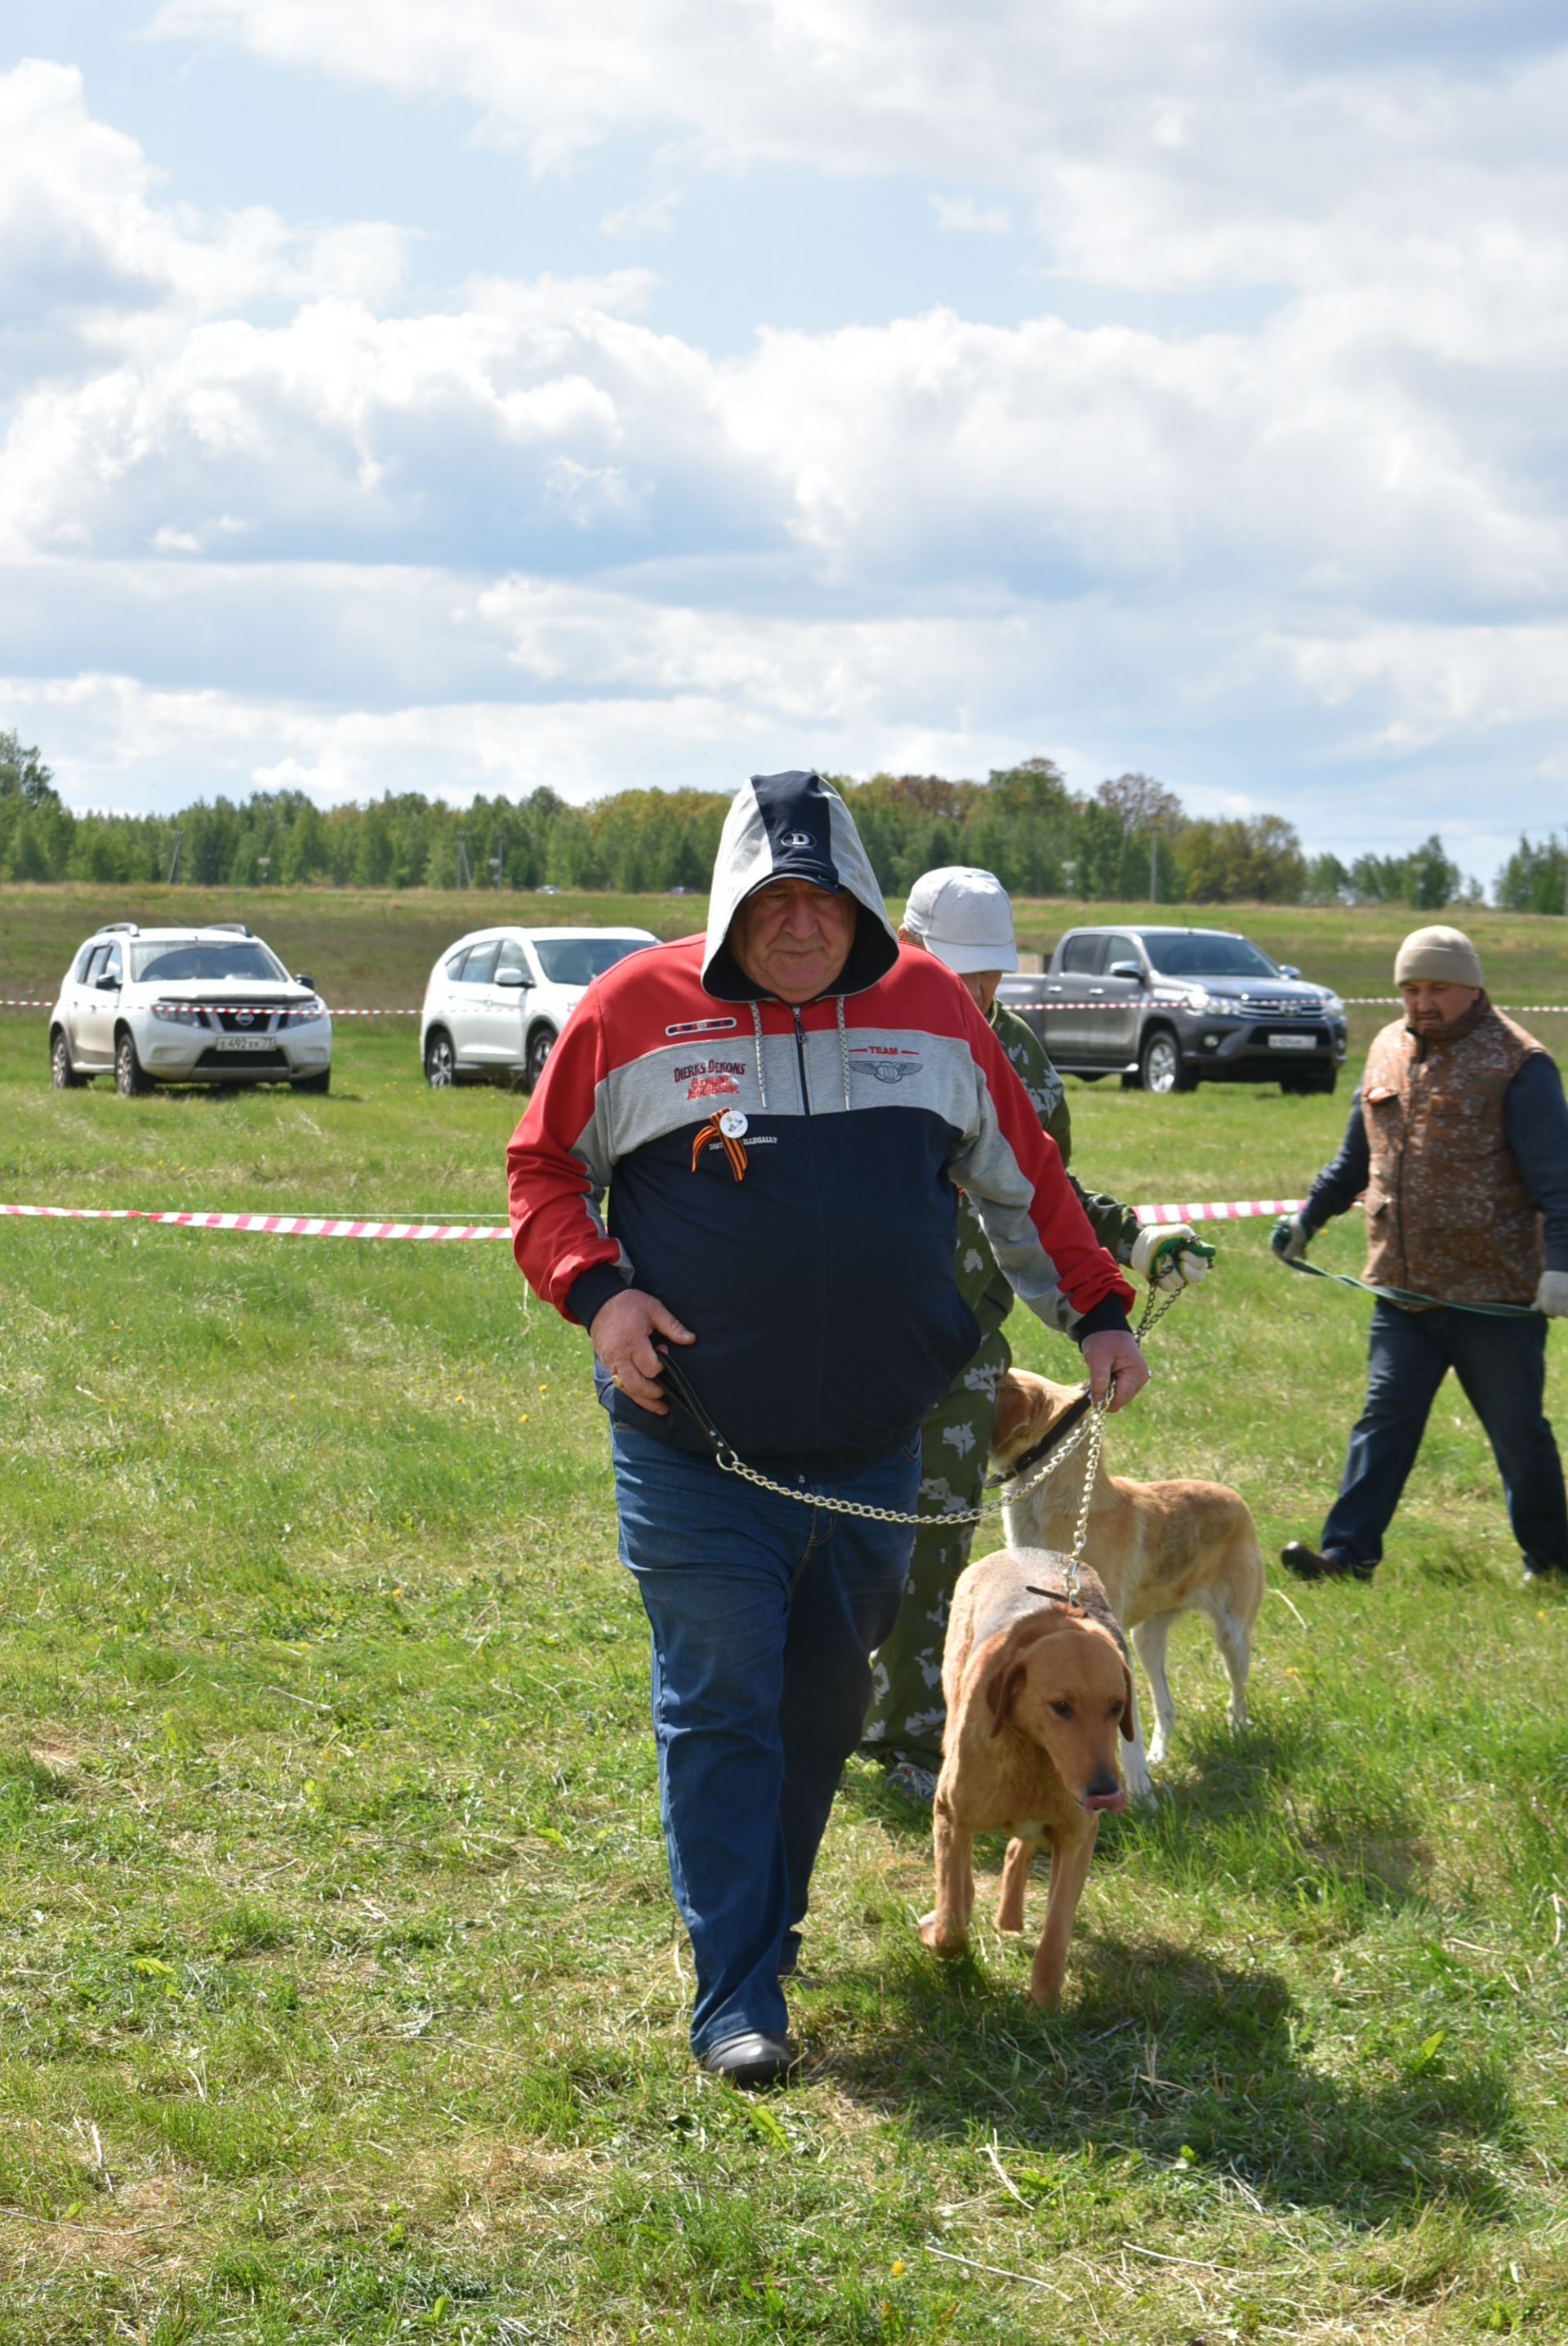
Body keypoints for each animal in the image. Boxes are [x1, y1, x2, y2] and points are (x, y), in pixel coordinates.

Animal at [909, 1548, 1129, 2008]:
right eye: (1061, 1707)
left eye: (1117, 1707)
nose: (1105, 1792)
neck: (1036, 1757)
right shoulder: (950, 1813)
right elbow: (952, 1926)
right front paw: (939, 1928)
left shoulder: (1077, 1839)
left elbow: (1056, 1933)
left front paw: (1045, 2006)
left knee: (1018, 1848)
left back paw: (1008, 1918)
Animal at [989, 1360, 1256, 1792]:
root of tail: (1234, 1495)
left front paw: (1140, 1792)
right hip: (1148, 1638)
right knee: (1166, 1707)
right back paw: (1159, 1757)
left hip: (1231, 1635)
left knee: (1237, 1697)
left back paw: (1237, 1736)